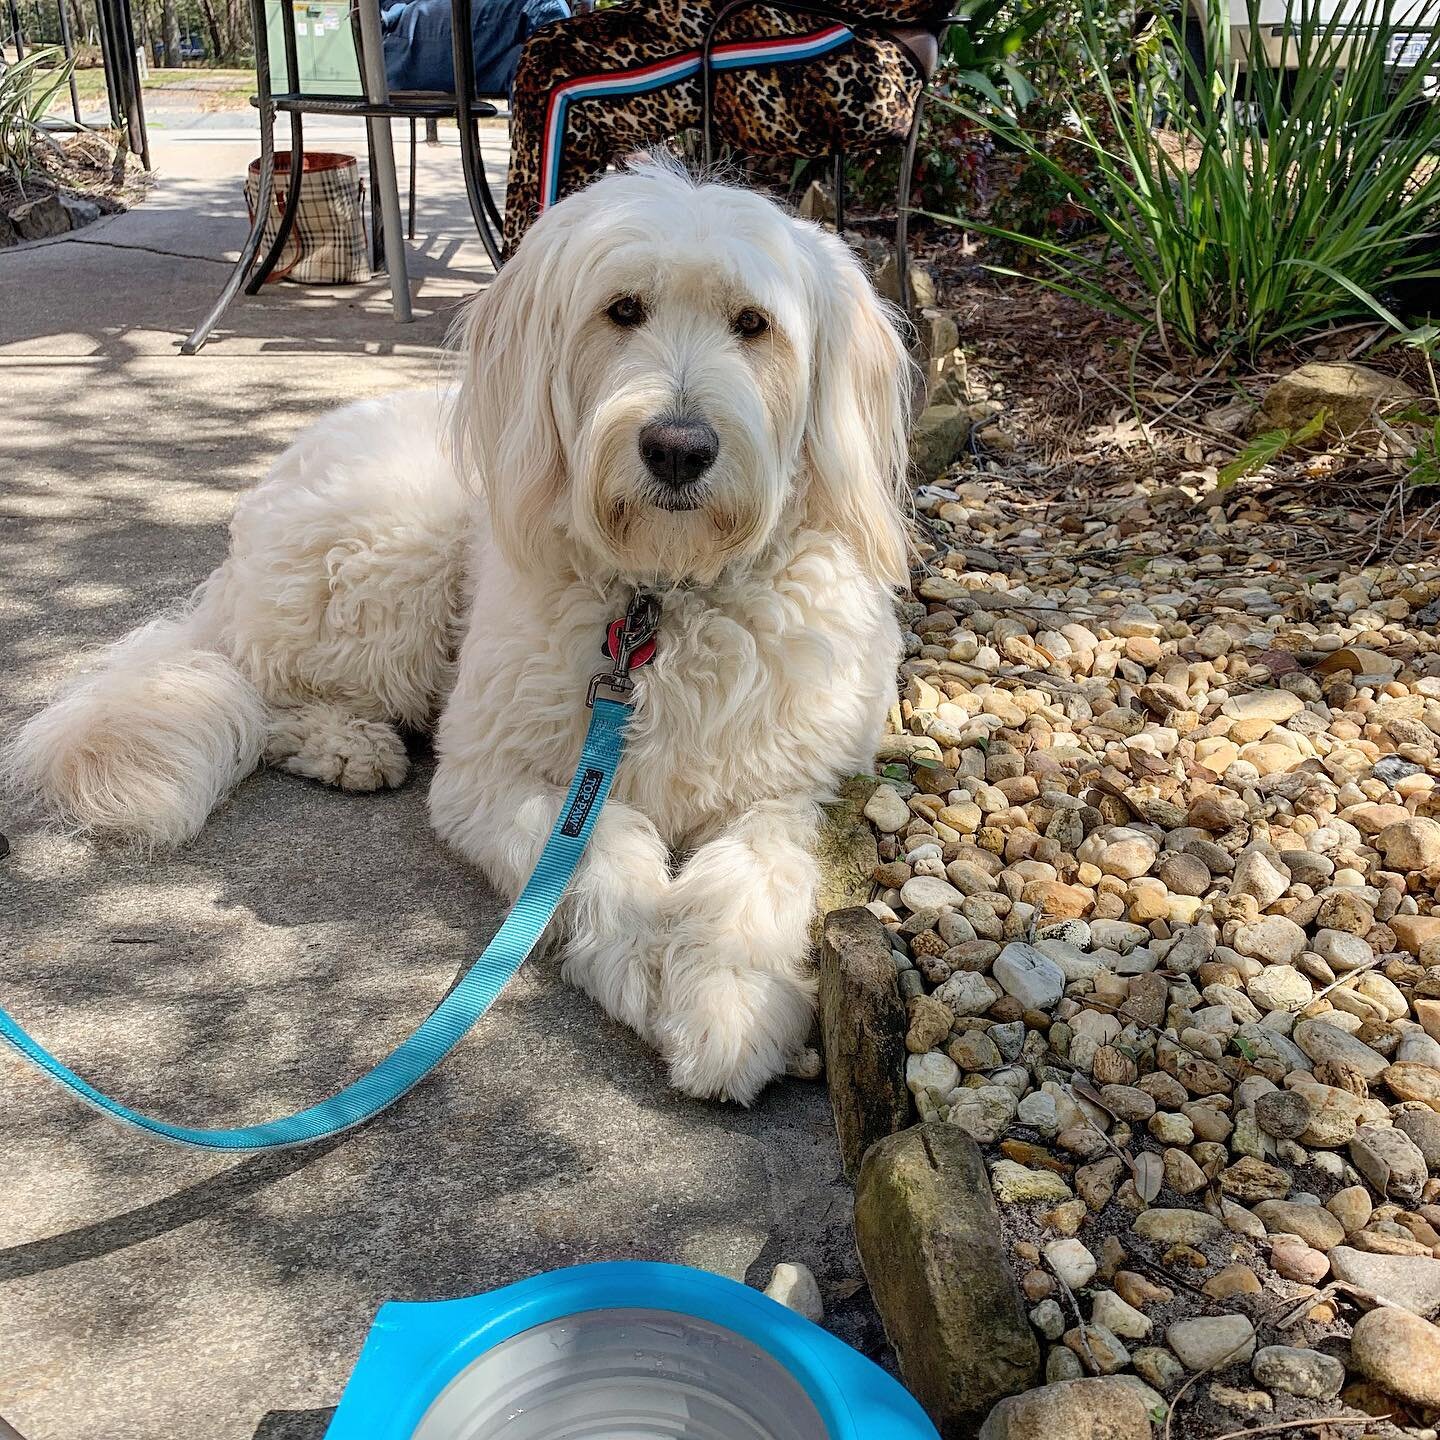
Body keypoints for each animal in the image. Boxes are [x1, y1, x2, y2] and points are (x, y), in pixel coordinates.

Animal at [8, 160, 910, 1100]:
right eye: (623, 309)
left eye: (753, 324)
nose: (677, 448)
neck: (661, 598)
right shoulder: (488, 778)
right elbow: (599, 849)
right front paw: (639, 963)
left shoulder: (790, 789)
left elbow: (754, 877)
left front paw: (729, 1004)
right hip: (396, 549)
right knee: (266, 688)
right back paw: (349, 745)